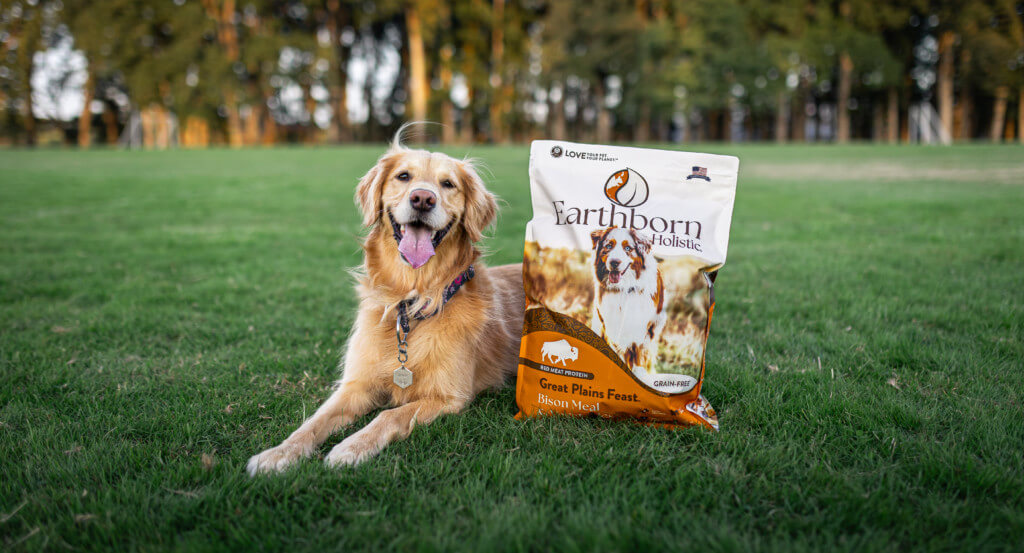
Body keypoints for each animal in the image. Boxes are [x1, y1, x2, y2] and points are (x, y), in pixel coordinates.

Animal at [244, 132, 524, 473]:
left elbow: (390, 415)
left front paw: (351, 446)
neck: (411, 302)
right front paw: (278, 453)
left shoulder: (448, 396)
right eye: (403, 176)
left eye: (448, 184)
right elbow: (313, 422)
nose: (422, 199)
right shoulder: (355, 385)